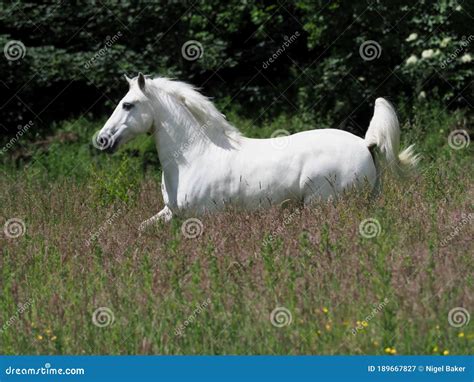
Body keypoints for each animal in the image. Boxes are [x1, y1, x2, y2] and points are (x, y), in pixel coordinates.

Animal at [95, 74, 418, 230]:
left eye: (127, 104)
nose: (102, 140)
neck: (193, 157)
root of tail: (365, 143)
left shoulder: (202, 218)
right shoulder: (170, 213)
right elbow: (141, 229)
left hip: (325, 205)